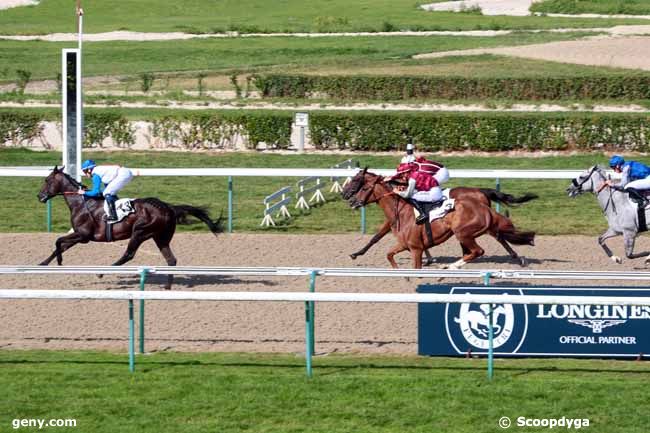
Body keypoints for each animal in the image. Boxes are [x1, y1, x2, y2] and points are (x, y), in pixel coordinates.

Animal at [38, 167, 221, 288]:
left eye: (47, 180)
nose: (39, 196)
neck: (81, 203)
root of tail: (169, 207)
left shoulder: (83, 235)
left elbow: (58, 241)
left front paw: (59, 261)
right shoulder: (79, 235)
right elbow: (60, 245)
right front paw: (42, 264)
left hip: (140, 232)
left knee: (129, 254)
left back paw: (102, 272)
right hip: (160, 237)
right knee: (171, 259)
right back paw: (167, 287)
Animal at [342, 170, 536, 268]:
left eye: (358, 182)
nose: (347, 198)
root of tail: (480, 191)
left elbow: (376, 237)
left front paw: (355, 254)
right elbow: (378, 238)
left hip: (463, 232)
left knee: (491, 240)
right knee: (494, 237)